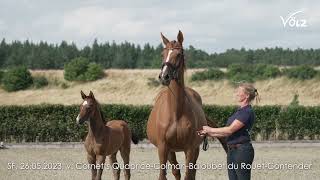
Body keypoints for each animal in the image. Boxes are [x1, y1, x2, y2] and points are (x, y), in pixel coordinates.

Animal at [146, 31, 226, 180]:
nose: (164, 76)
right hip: (171, 151)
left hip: (195, 149)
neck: (175, 112)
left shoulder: (190, 148)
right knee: (176, 170)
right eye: (162, 53)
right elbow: (164, 174)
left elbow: (188, 174)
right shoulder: (163, 148)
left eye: (178, 54)